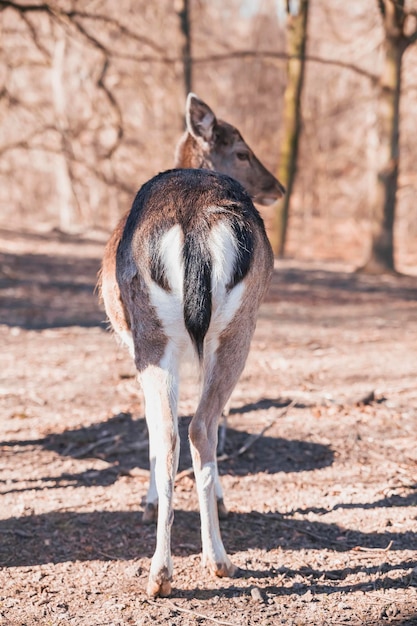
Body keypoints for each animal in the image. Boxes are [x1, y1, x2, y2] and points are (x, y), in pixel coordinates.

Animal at [99, 92, 284, 596]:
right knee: (194, 427)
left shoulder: (136, 344)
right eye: (242, 151)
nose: (278, 186)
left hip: (156, 333)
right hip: (235, 327)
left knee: (181, 430)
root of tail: (196, 221)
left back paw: (191, 565)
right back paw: (188, 563)